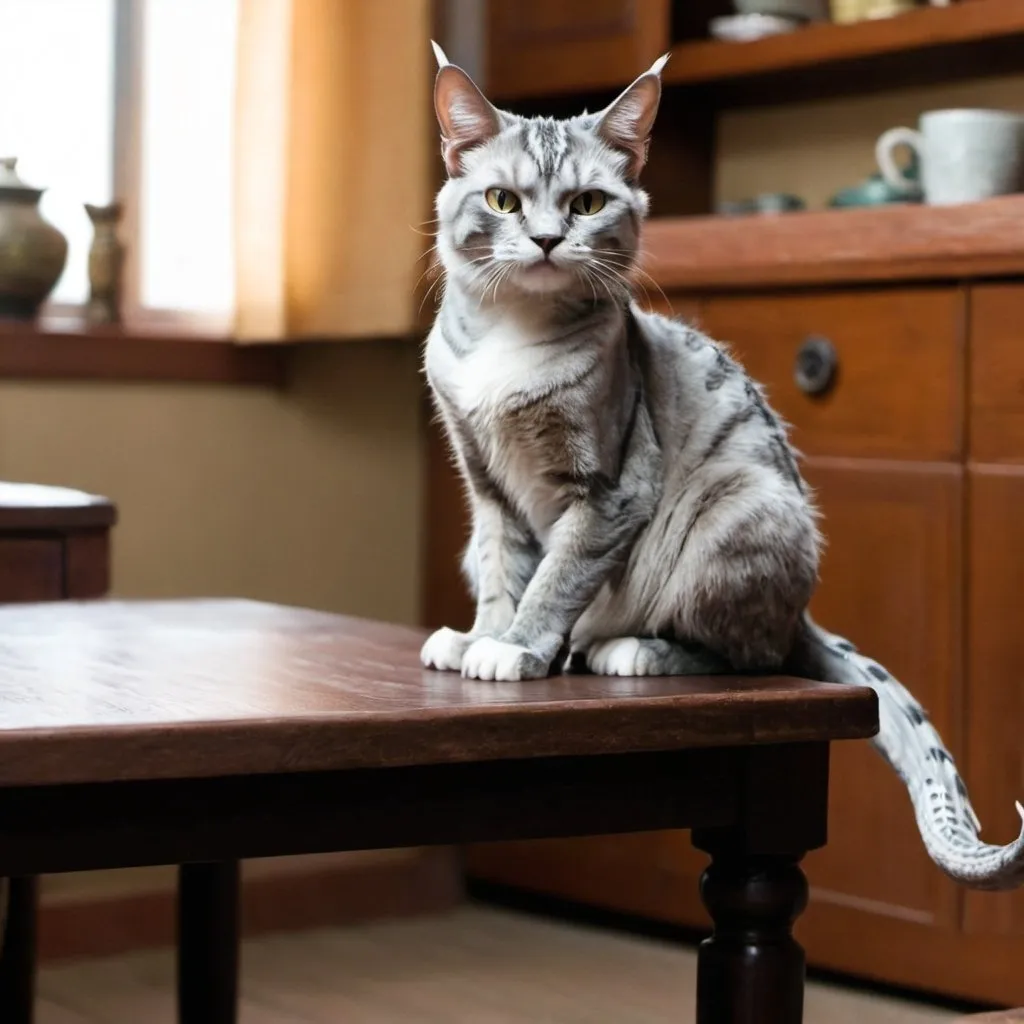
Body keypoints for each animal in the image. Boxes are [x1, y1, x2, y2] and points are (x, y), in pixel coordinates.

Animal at [417, 41, 1024, 888]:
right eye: (503, 201)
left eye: (586, 204)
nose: (543, 241)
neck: (509, 338)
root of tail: (802, 608)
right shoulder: (487, 489)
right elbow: (509, 572)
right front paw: (483, 637)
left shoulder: (612, 488)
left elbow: (556, 578)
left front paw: (516, 648)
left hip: (732, 511)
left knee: (751, 655)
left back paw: (627, 648)